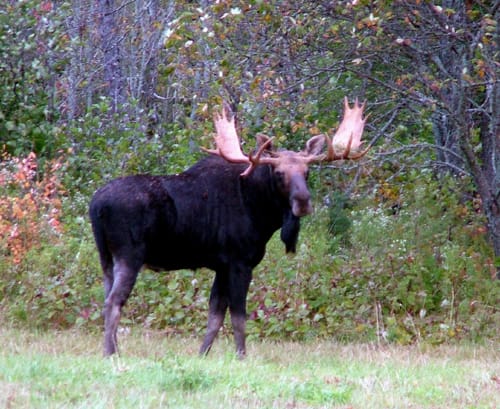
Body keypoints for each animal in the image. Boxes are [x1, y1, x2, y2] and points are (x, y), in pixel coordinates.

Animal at [89, 97, 368, 356]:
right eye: (278, 173)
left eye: (307, 172)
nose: (302, 202)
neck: (260, 212)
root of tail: (95, 205)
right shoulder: (239, 262)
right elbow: (238, 317)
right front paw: (241, 356)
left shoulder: (221, 266)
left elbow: (215, 316)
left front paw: (202, 355)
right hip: (129, 254)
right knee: (113, 303)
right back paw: (111, 354)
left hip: (106, 257)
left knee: (107, 299)